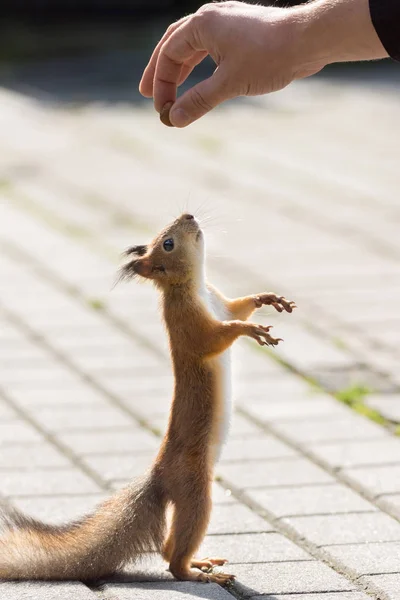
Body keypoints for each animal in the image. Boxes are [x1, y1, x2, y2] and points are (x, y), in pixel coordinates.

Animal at [0, 213, 294, 584]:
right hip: (195, 492)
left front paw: (265, 298)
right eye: (167, 244)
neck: (195, 286)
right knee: (175, 558)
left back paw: (201, 562)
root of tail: (160, 473)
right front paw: (248, 330)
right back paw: (197, 573)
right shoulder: (186, 322)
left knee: (169, 548)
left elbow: (237, 307)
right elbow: (213, 338)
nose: (189, 216)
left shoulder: (221, 303)